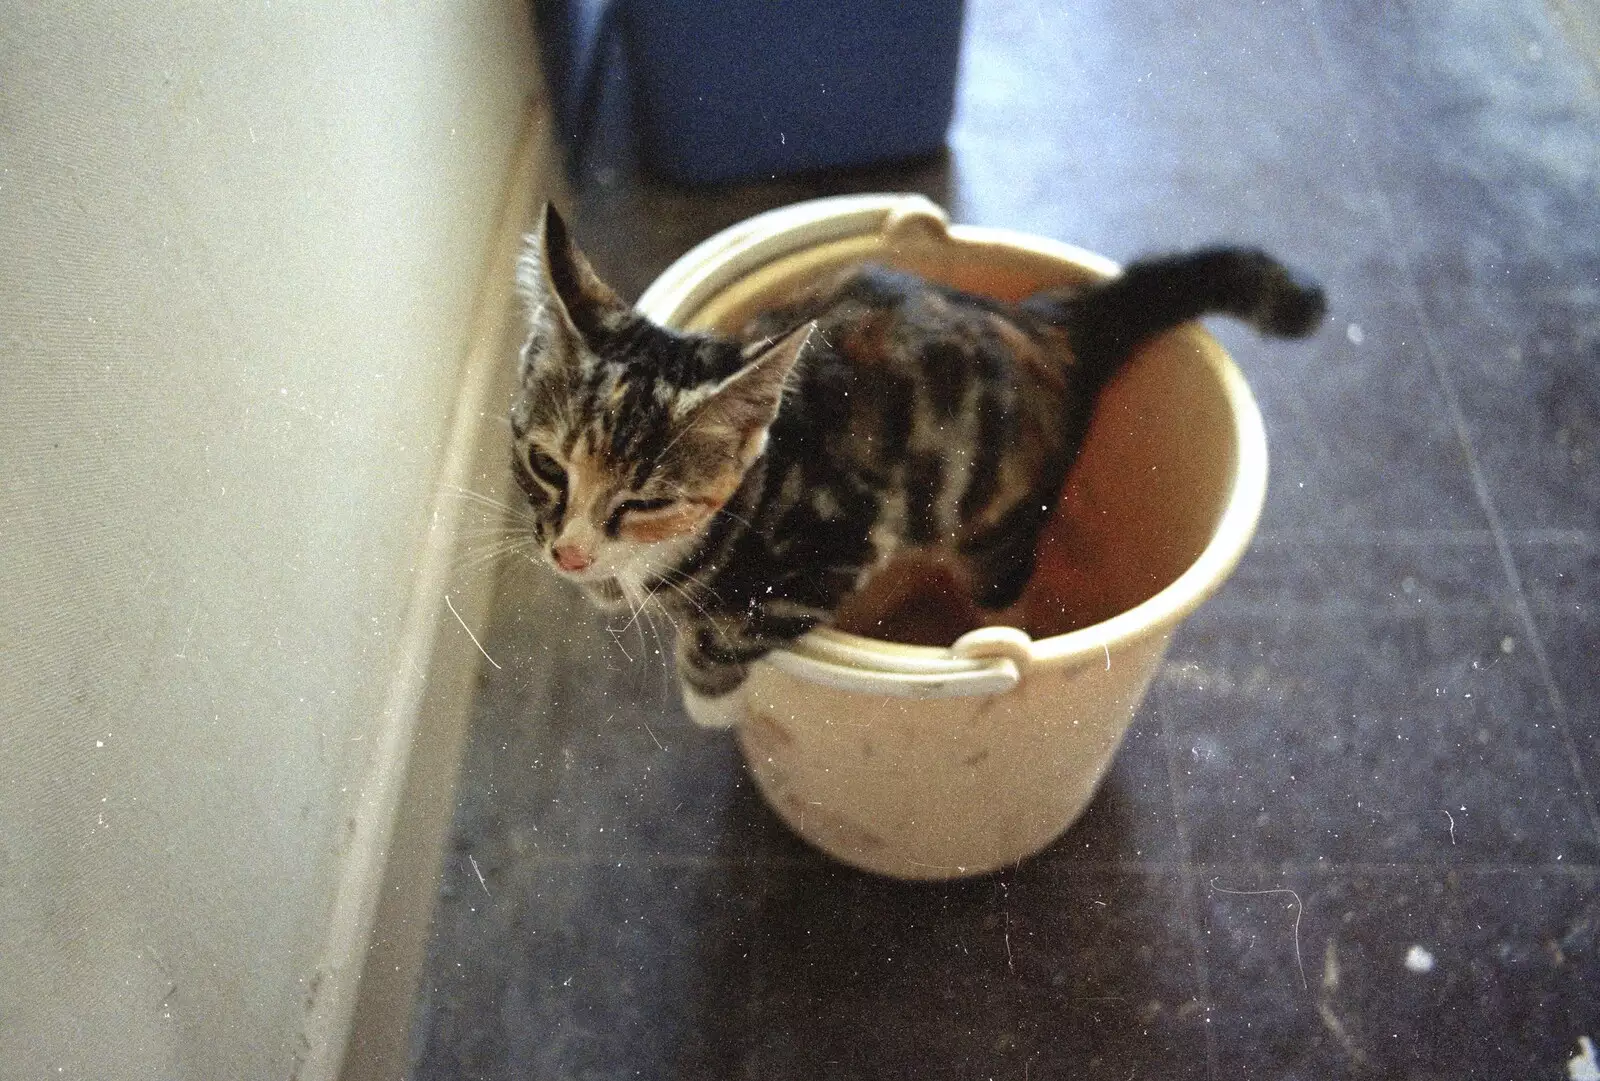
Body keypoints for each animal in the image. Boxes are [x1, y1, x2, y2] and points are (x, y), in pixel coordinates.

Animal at [512, 203, 1324, 725]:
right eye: (546, 466)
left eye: (647, 501)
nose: (570, 555)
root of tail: (1043, 324)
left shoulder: (836, 543)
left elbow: (733, 628)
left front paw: (713, 700)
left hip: (993, 524)